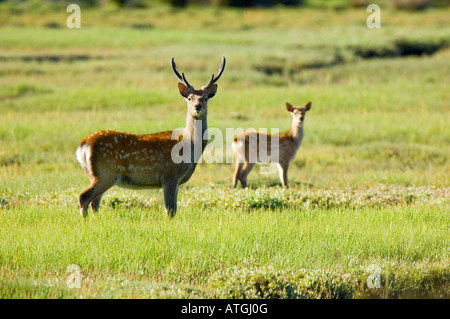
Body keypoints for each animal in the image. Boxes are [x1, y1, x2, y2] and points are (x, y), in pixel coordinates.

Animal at [76, 56, 229, 219]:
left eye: (206, 98)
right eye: (189, 98)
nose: (197, 106)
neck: (190, 147)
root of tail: (82, 145)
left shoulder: (176, 182)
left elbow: (174, 209)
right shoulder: (169, 176)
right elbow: (170, 210)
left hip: (96, 175)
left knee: (94, 202)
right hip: (105, 172)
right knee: (84, 197)